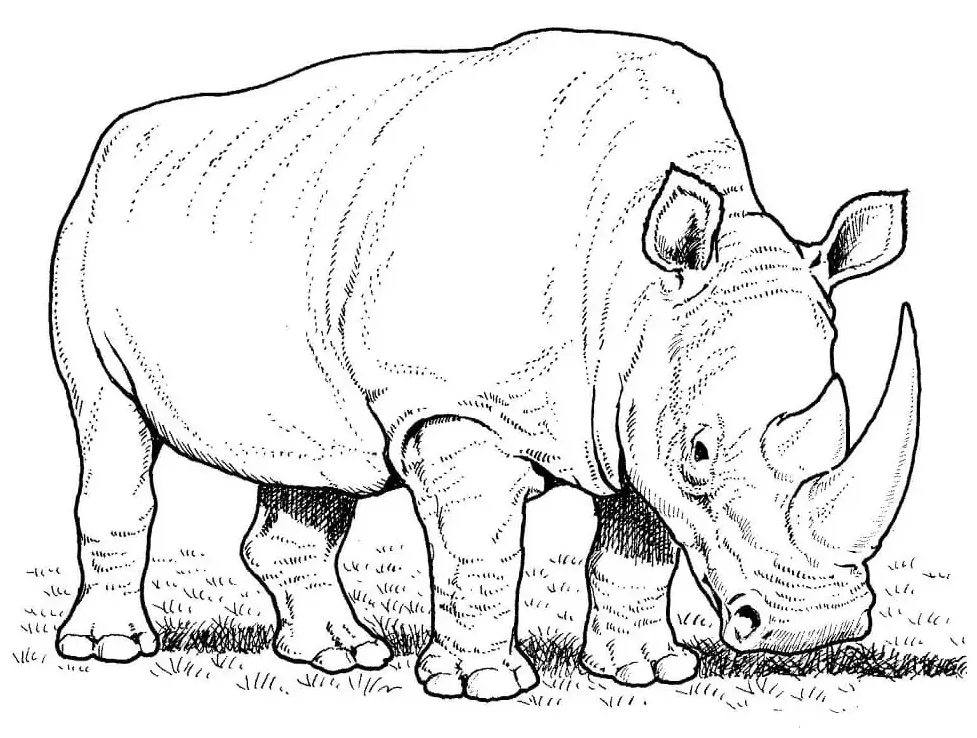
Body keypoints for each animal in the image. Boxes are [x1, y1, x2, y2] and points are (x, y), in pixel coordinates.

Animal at [50, 29, 919, 700]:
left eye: (839, 432)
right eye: (701, 452)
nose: (816, 626)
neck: (635, 288)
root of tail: (107, 148)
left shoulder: (634, 405)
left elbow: (638, 546)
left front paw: (645, 671)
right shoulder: (454, 403)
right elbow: (484, 545)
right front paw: (483, 687)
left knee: (314, 458)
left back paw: (341, 655)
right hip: (86, 239)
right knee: (110, 427)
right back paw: (113, 651)